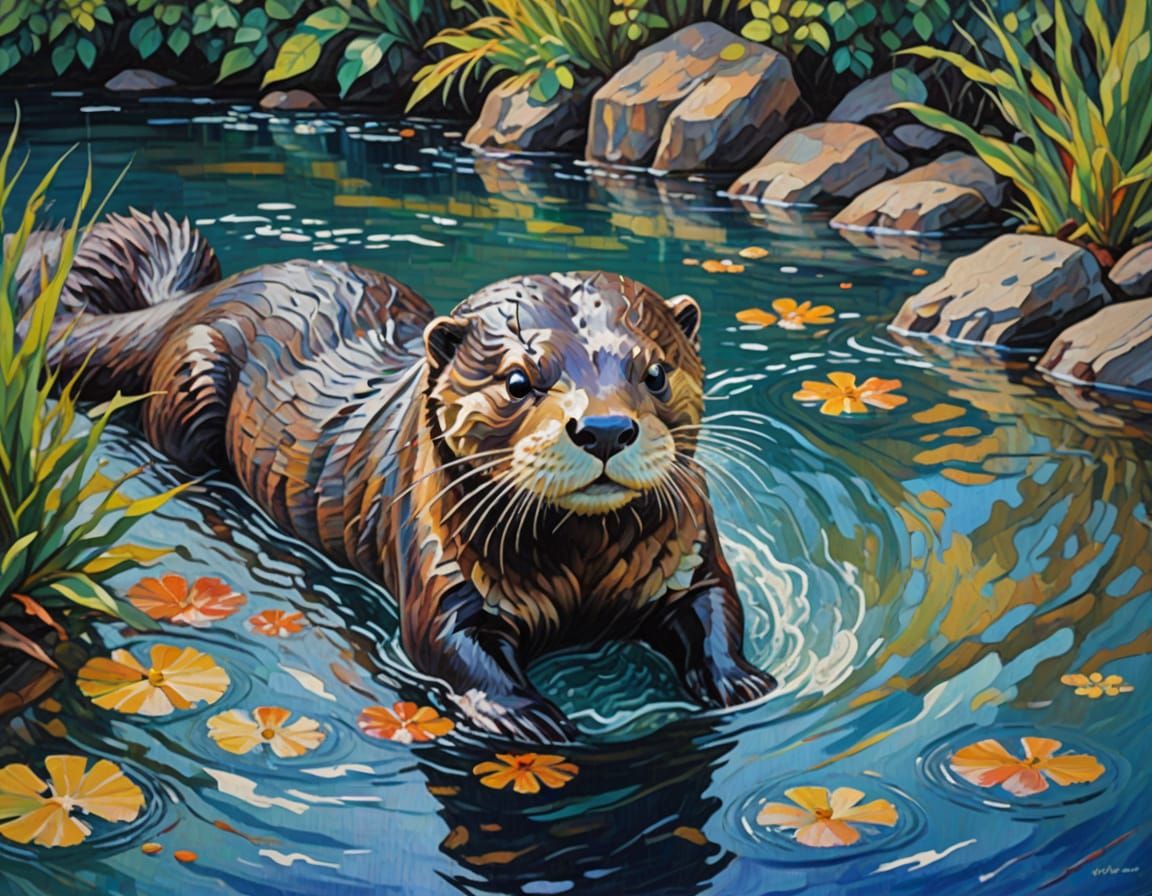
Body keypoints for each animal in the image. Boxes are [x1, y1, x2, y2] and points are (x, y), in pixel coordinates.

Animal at [34, 210, 776, 739]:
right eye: (518, 381)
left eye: (655, 373)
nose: (604, 429)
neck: (583, 579)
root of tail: (199, 298)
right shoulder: (439, 565)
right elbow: (449, 646)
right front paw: (525, 714)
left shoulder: (691, 550)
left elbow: (717, 606)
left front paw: (739, 681)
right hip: (193, 378)